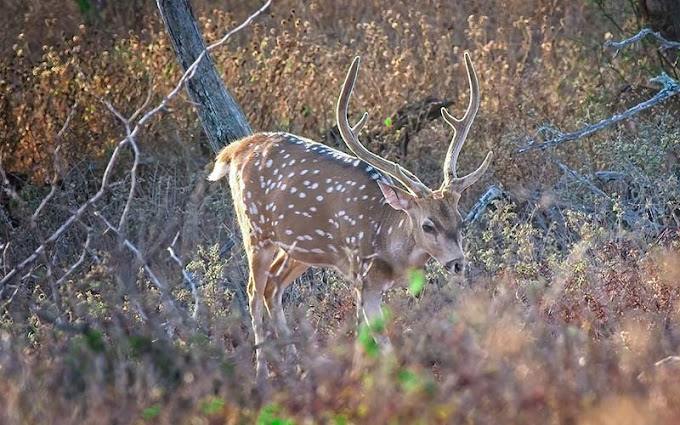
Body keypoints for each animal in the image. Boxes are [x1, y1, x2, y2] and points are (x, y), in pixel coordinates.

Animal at [207, 52, 492, 380]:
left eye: (459, 221)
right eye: (427, 226)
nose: (458, 263)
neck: (385, 239)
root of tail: (234, 149)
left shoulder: (364, 280)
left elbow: (361, 331)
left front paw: (356, 374)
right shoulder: (362, 273)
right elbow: (379, 339)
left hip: (299, 248)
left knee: (272, 286)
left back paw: (295, 368)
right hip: (254, 229)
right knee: (253, 290)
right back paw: (262, 374)